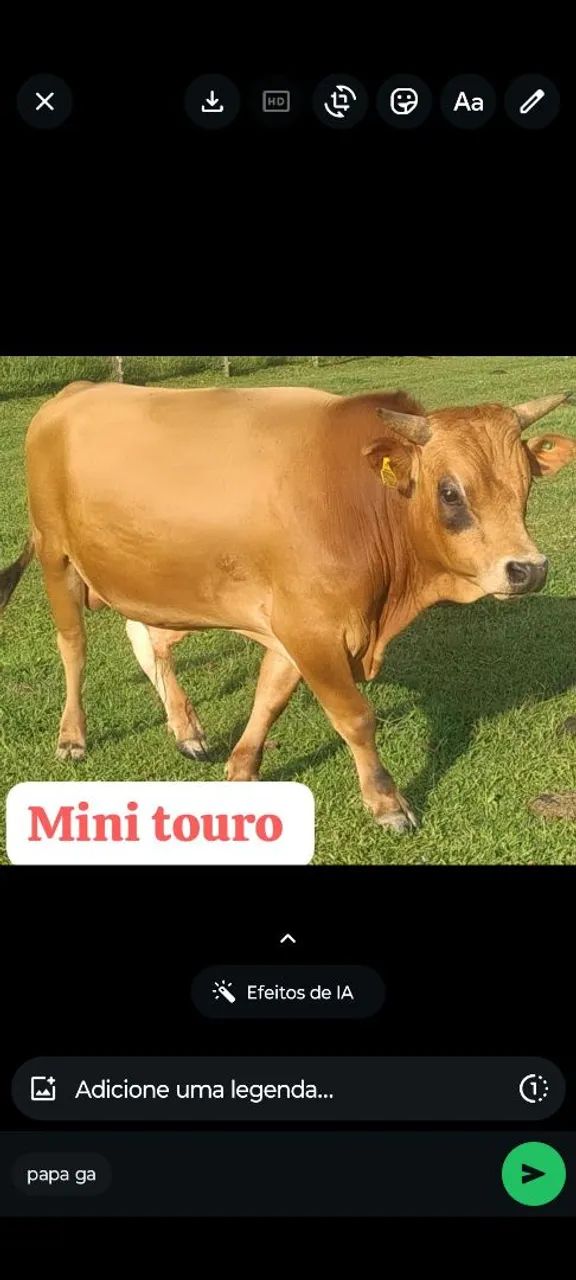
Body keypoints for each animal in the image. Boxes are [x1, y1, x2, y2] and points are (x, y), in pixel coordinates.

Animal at [1, 381, 575, 834]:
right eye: (451, 492)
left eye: (525, 484)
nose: (528, 569)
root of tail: (74, 392)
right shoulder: (311, 629)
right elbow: (355, 716)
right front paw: (387, 802)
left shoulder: (291, 626)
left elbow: (270, 696)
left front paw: (241, 767)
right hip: (55, 554)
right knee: (74, 646)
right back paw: (73, 736)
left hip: (139, 567)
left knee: (146, 638)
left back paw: (187, 729)